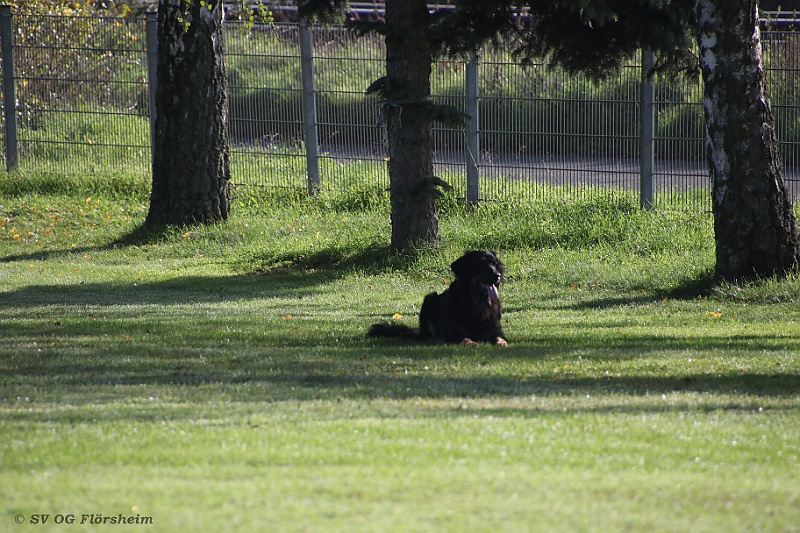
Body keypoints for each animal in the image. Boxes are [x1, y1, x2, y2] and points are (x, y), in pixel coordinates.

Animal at [368, 250, 508, 346]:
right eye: (481, 264)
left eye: (495, 264)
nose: (498, 276)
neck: (477, 302)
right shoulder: (453, 335)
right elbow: (465, 338)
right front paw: (472, 343)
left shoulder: (496, 331)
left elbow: (500, 338)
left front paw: (502, 344)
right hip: (429, 298)